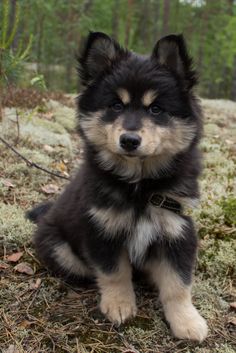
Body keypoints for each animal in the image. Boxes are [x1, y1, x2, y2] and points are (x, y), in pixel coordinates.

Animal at [28, 31, 208, 340]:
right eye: (116, 106)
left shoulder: (177, 229)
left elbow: (178, 283)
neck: (139, 186)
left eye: (156, 109)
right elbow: (114, 272)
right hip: (60, 249)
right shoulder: (102, 228)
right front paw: (119, 305)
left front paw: (187, 321)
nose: (129, 140)